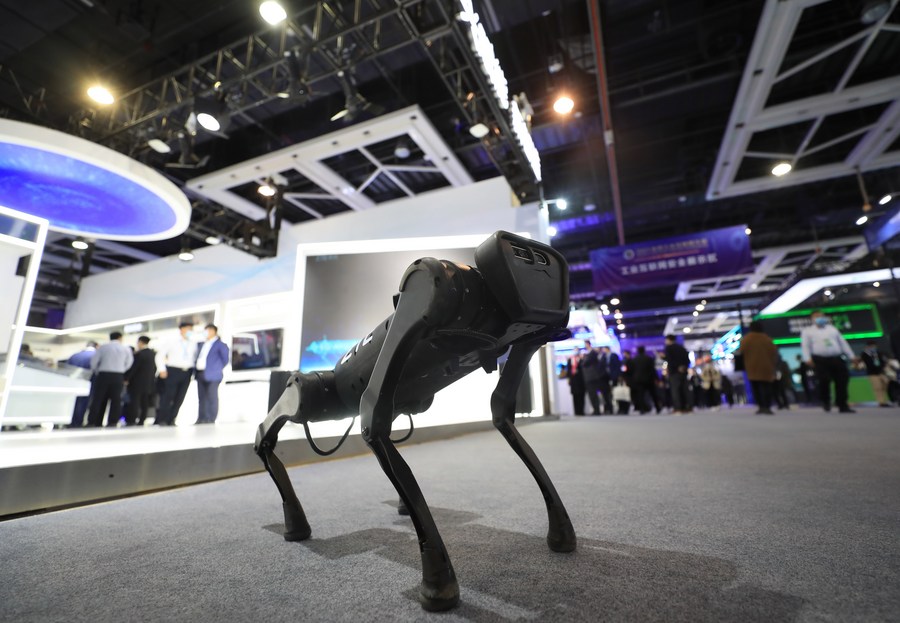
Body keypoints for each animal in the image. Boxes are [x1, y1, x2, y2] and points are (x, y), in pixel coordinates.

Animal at [253, 229, 576, 608]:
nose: (539, 267)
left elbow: (501, 412)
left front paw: (562, 533)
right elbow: (372, 424)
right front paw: (439, 584)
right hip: (325, 392)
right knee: (296, 400)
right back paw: (288, 506)